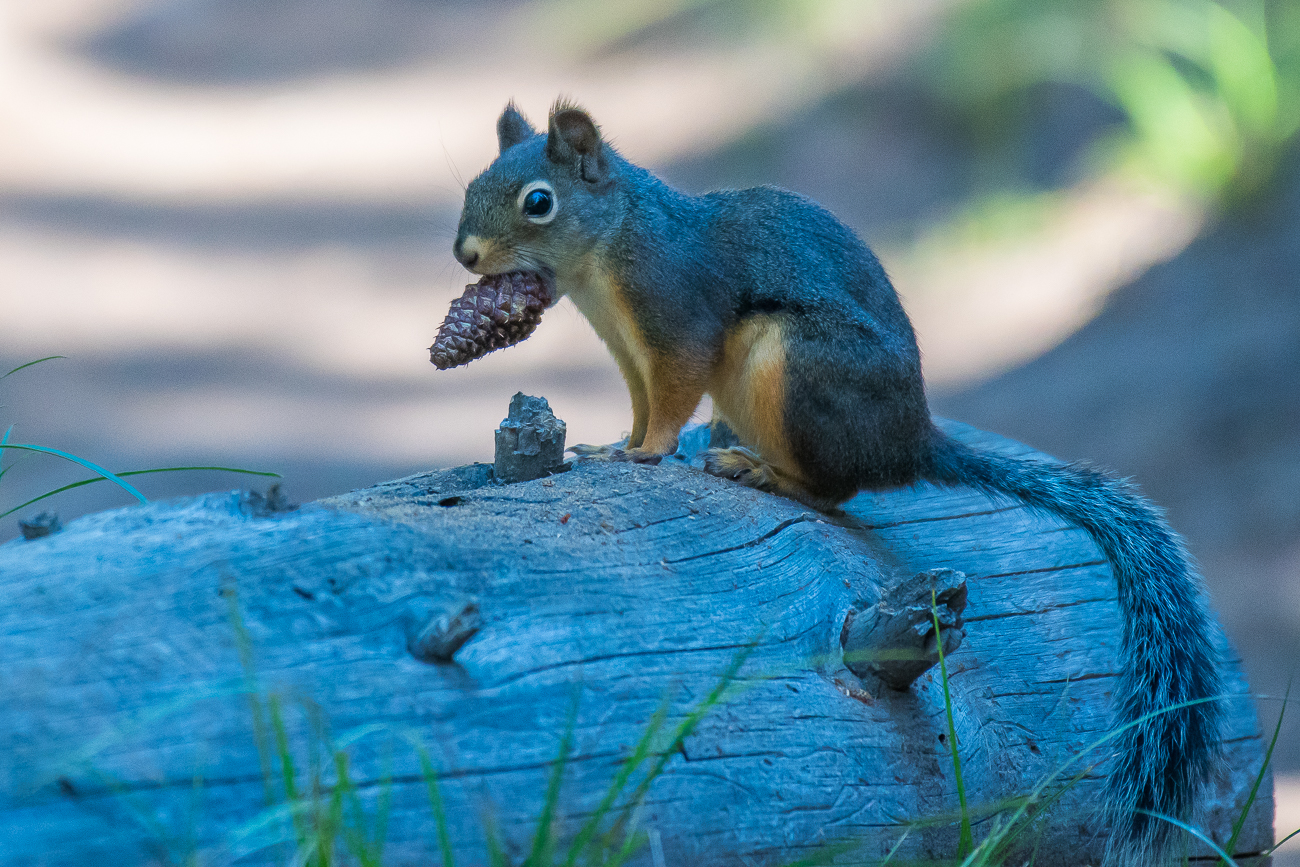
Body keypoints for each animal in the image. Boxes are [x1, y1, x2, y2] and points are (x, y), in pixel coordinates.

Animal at [454, 100, 1216, 863]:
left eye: (539, 202)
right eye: (473, 183)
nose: (464, 255)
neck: (606, 256)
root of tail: (909, 442)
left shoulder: (675, 318)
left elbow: (671, 404)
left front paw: (641, 457)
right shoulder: (626, 353)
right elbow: (642, 406)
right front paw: (614, 443)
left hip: (789, 365)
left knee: (832, 491)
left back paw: (759, 470)